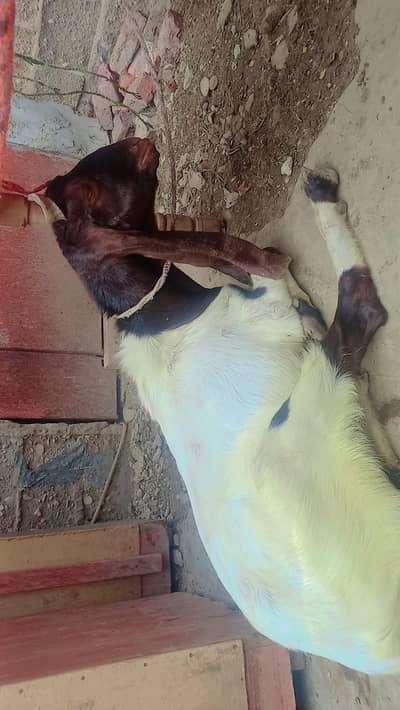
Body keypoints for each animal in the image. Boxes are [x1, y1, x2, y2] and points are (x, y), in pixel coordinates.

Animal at [45, 137, 400, 675]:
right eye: (98, 181)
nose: (142, 140)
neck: (162, 317)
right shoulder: (277, 309)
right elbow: (289, 281)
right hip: (295, 432)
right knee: (361, 306)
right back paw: (321, 197)